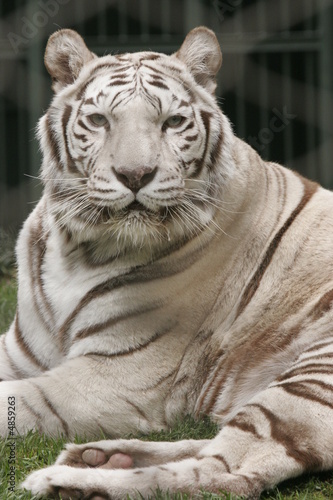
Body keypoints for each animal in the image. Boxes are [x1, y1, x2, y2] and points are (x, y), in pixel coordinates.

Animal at [0, 26, 332, 500]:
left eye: (172, 122)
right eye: (99, 120)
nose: (135, 175)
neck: (77, 249)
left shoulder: (116, 376)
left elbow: (18, 400)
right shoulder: (21, 352)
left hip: (312, 378)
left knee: (224, 474)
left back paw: (71, 480)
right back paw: (99, 456)